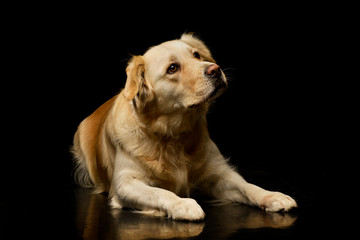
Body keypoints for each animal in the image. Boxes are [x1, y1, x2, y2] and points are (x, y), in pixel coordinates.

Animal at [71, 32, 296, 220]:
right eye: (173, 68)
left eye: (197, 55)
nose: (215, 70)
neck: (172, 135)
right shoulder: (125, 183)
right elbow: (160, 192)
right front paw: (182, 204)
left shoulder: (221, 172)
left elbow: (247, 186)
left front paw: (271, 196)